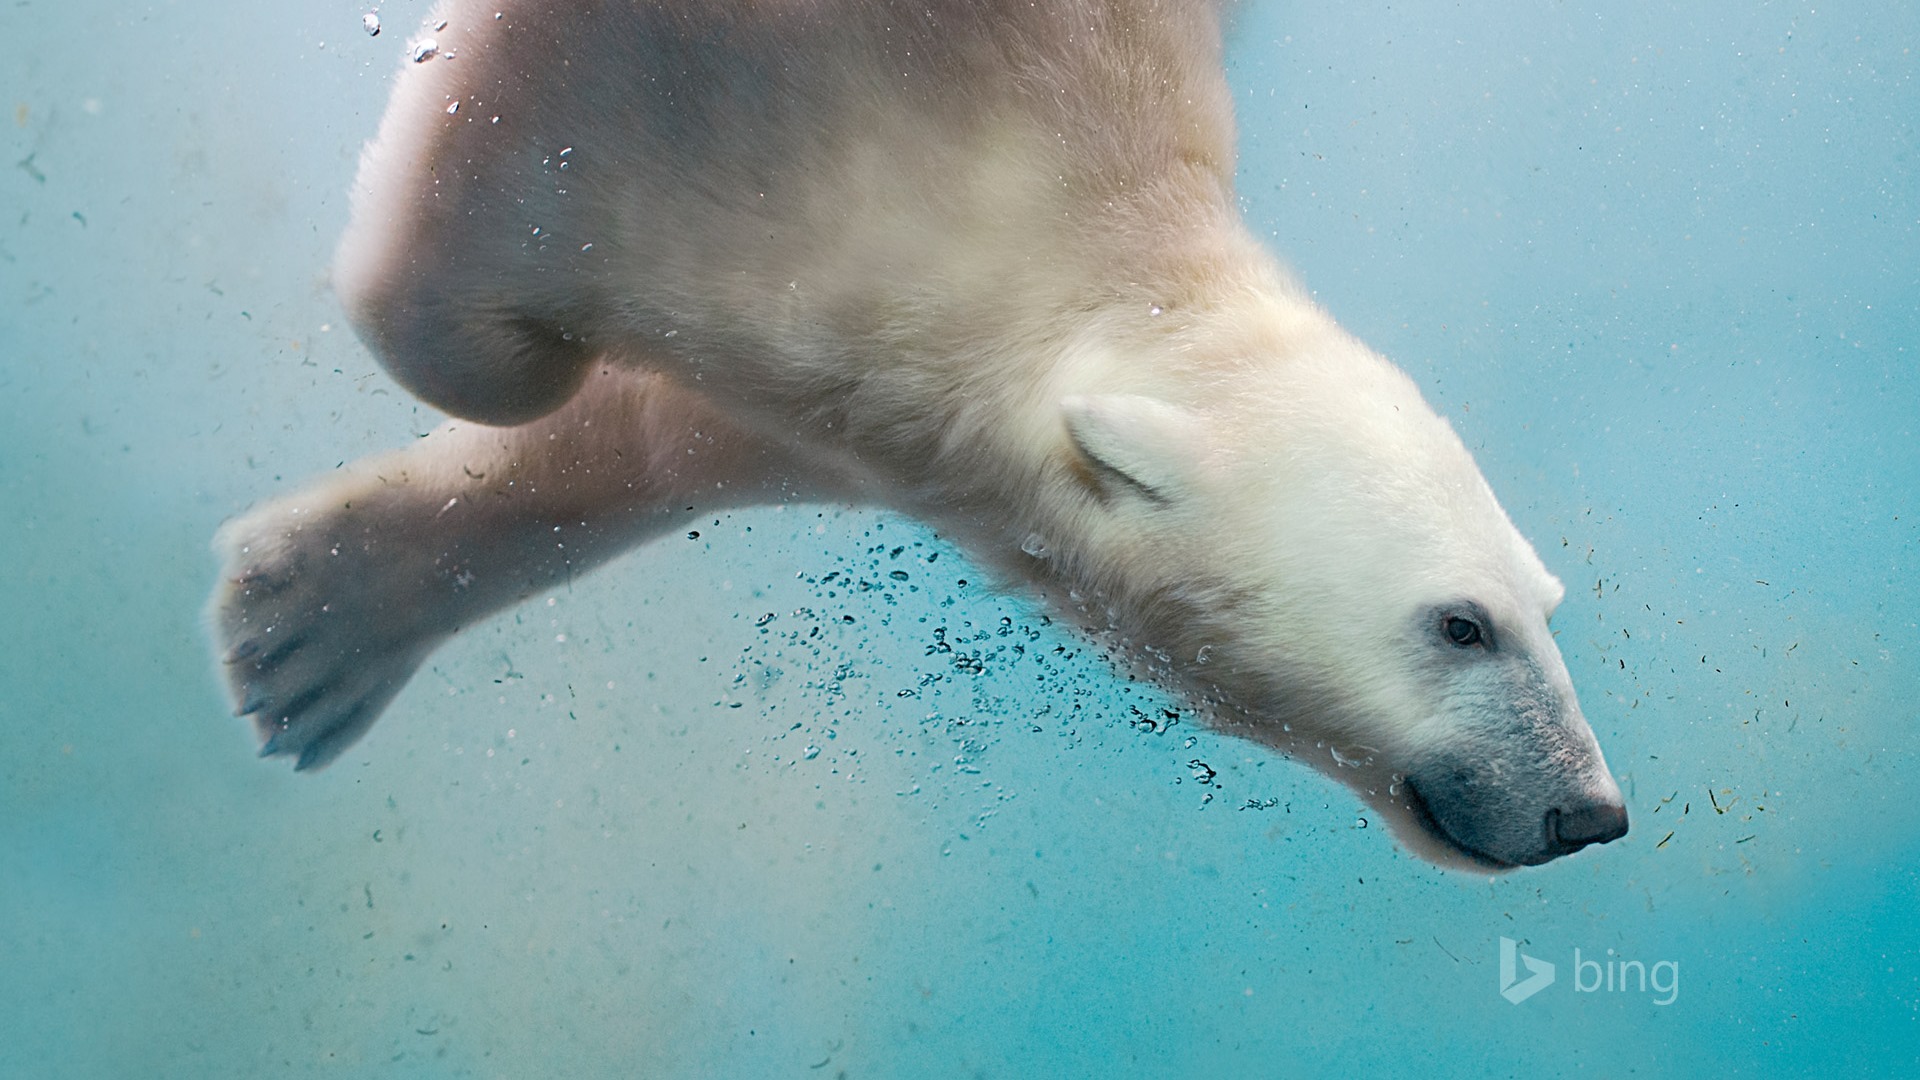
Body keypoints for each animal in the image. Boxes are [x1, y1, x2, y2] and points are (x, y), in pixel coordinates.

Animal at [210, 0, 1628, 864]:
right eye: (1460, 623)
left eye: (1544, 602)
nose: (1591, 811)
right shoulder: (706, 103)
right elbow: (482, 332)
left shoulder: (862, 388)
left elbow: (676, 432)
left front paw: (306, 629)